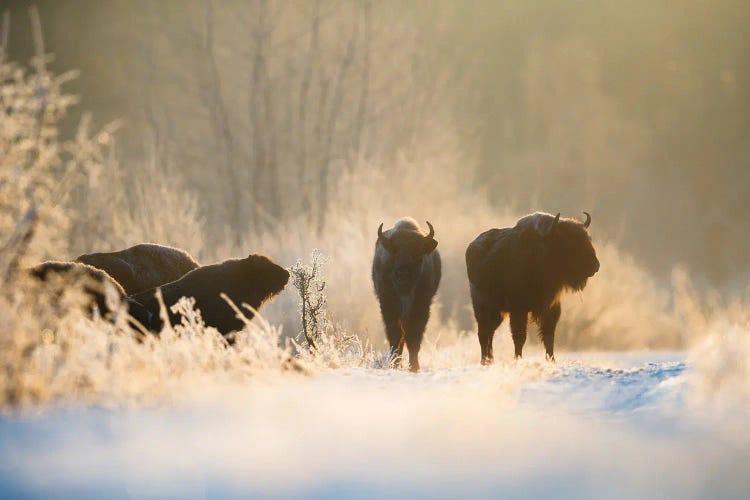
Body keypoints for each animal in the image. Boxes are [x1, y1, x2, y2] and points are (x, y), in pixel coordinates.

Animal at [374, 218, 444, 372]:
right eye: (394, 250)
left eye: (417, 251)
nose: (402, 272)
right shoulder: (388, 304)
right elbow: (395, 335)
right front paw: (395, 365)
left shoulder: (422, 306)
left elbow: (414, 334)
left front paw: (414, 367)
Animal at [468, 211, 604, 364]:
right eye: (570, 242)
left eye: (588, 239)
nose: (595, 265)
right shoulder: (519, 310)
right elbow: (520, 337)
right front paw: (518, 360)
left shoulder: (551, 309)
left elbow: (549, 336)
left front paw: (552, 360)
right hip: (485, 309)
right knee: (484, 333)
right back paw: (485, 361)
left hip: (497, 313)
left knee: (489, 333)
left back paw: (489, 360)